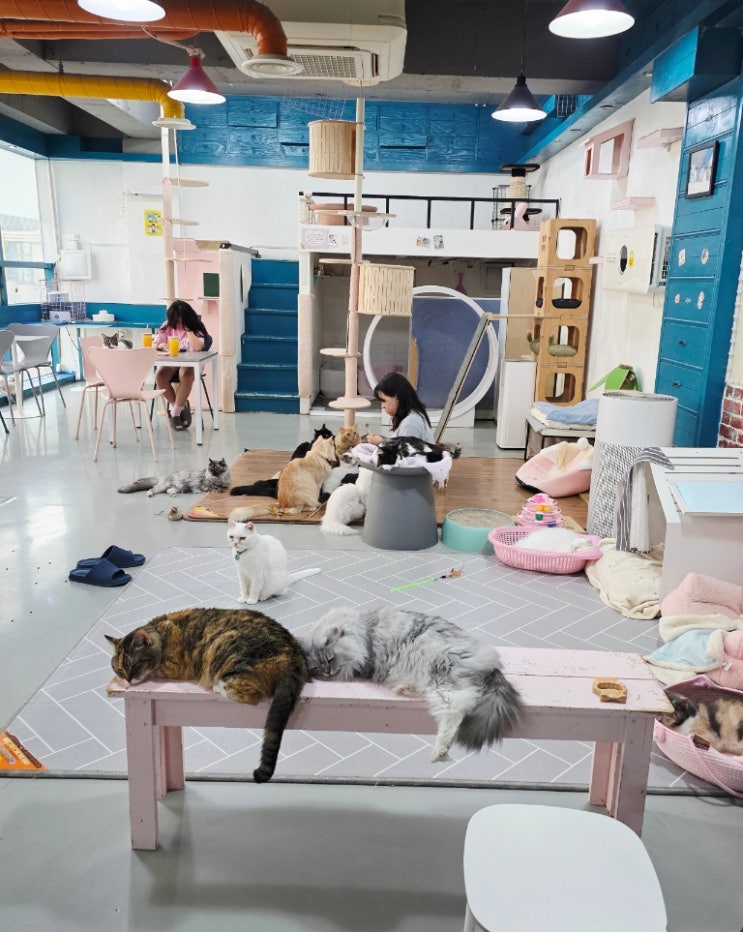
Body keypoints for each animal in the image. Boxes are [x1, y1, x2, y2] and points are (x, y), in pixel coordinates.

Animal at [105, 607, 308, 783]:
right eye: (119, 668)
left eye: (134, 665)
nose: (127, 680)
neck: (162, 636)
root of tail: (291, 657)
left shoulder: (170, 667)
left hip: (224, 647)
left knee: (247, 694)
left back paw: (217, 685)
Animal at [302, 605, 522, 762]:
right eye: (318, 668)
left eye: (330, 659)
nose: (327, 672)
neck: (364, 628)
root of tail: (492, 666)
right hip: (432, 680)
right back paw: (404, 689)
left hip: (441, 675)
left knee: (456, 712)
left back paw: (439, 751)